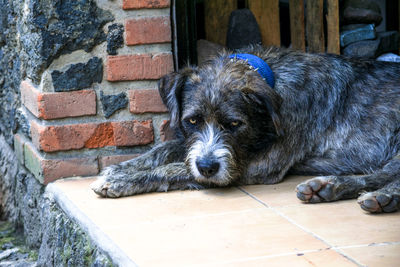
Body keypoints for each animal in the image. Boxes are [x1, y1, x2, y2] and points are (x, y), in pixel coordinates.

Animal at [91, 45, 400, 214]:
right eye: (192, 121)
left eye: (234, 124)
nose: (207, 168)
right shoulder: (199, 145)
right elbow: (167, 149)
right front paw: (121, 168)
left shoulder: (259, 164)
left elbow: (175, 168)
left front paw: (122, 181)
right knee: (377, 175)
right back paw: (327, 187)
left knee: (387, 177)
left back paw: (382, 197)